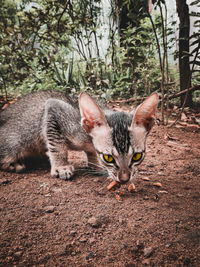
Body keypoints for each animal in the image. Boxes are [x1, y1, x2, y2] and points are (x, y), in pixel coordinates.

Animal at [0, 90, 159, 184]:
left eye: (137, 156)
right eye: (108, 158)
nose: (124, 180)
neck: (88, 139)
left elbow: (91, 152)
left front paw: (96, 166)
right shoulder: (54, 108)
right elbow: (57, 146)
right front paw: (61, 166)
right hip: (16, 141)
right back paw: (16, 164)